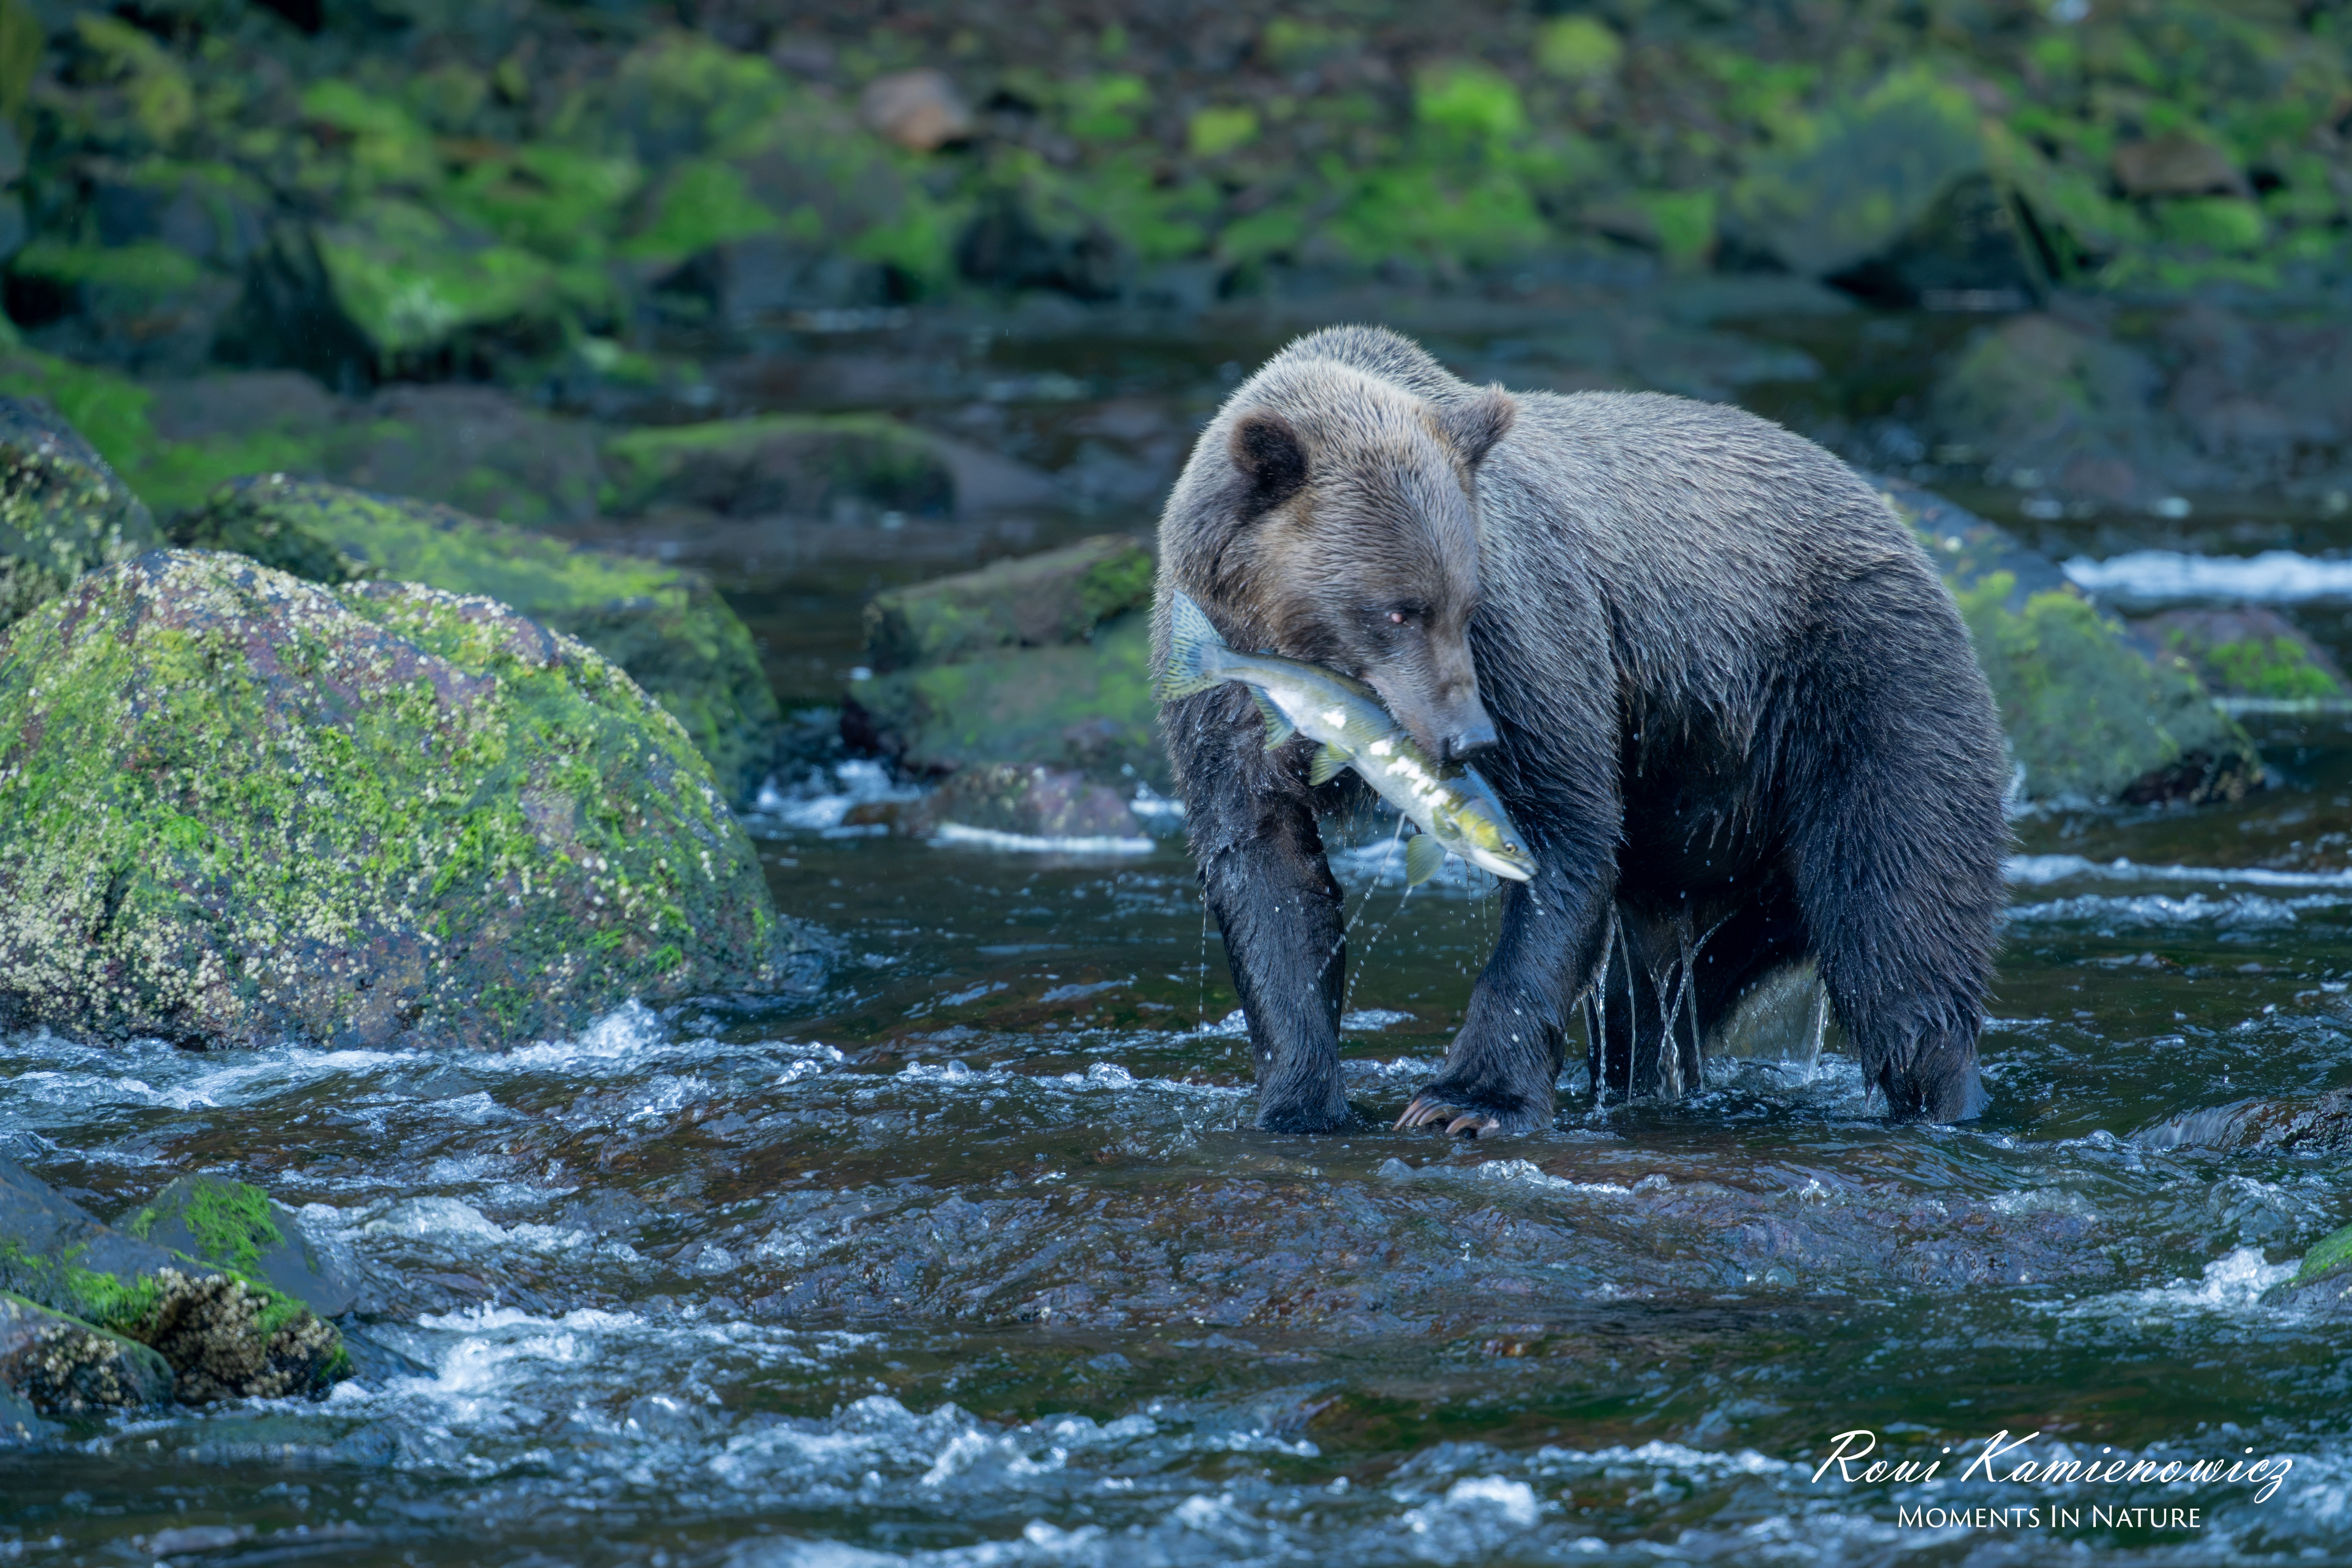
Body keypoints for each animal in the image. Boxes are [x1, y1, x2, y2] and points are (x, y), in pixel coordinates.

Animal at [1152, 325, 2010, 1136]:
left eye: (1462, 603)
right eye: (1396, 610)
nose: (1469, 740)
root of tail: (1894, 521)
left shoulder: (1531, 645)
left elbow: (1562, 832)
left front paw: (1467, 1101)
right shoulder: (1220, 708)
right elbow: (1270, 880)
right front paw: (1298, 1099)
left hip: (1857, 697)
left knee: (1897, 916)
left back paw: (1941, 1094)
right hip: (1711, 832)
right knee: (1665, 989)